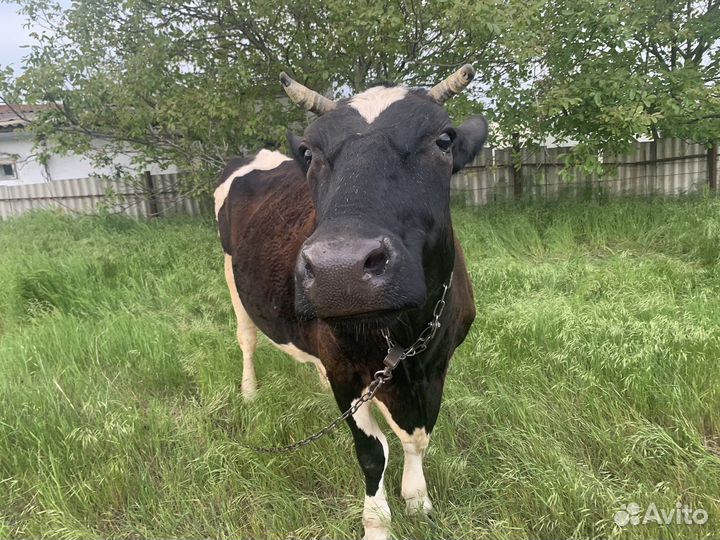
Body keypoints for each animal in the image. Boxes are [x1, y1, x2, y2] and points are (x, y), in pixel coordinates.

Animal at [215, 64, 487, 540]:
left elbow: (418, 438)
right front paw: (377, 523)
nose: (339, 269)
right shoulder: (346, 372)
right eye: (309, 151)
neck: (404, 335)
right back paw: (249, 392)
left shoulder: (438, 363)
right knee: (246, 338)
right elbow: (373, 452)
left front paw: (418, 500)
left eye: (444, 139)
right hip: (232, 276)